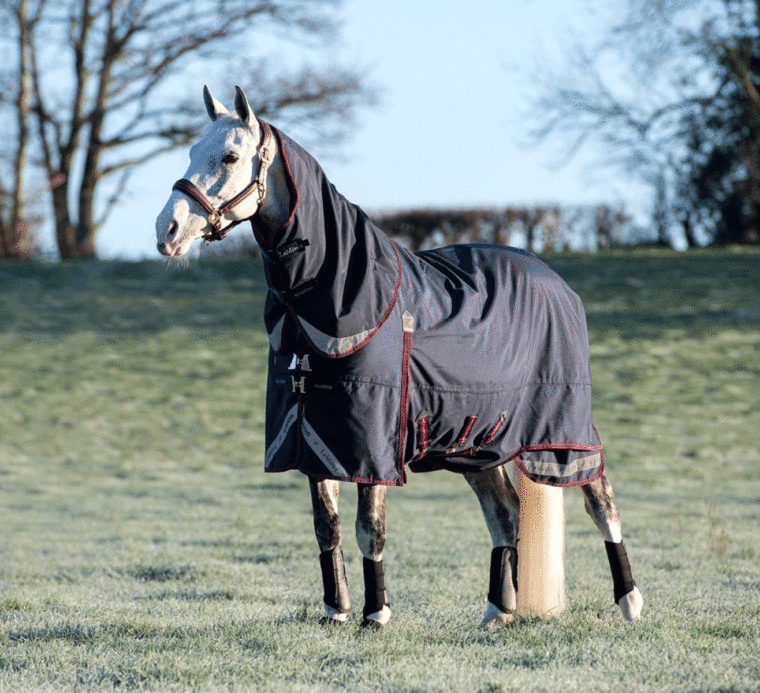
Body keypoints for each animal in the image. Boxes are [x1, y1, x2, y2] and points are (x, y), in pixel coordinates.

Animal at [157, 85, 644, 628]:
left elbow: (369, 527)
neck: (337, 297)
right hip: (477, 442)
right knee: (505, 512)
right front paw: (336, 611)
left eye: (230, 156)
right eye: (191, 151)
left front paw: (376, 614)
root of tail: (555, 278)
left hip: (564, 433)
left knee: (601, 503)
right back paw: (497, 611)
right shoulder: (315, 438)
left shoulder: (371, 441)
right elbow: (326, 527)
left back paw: (630, 602)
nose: (168, 230)